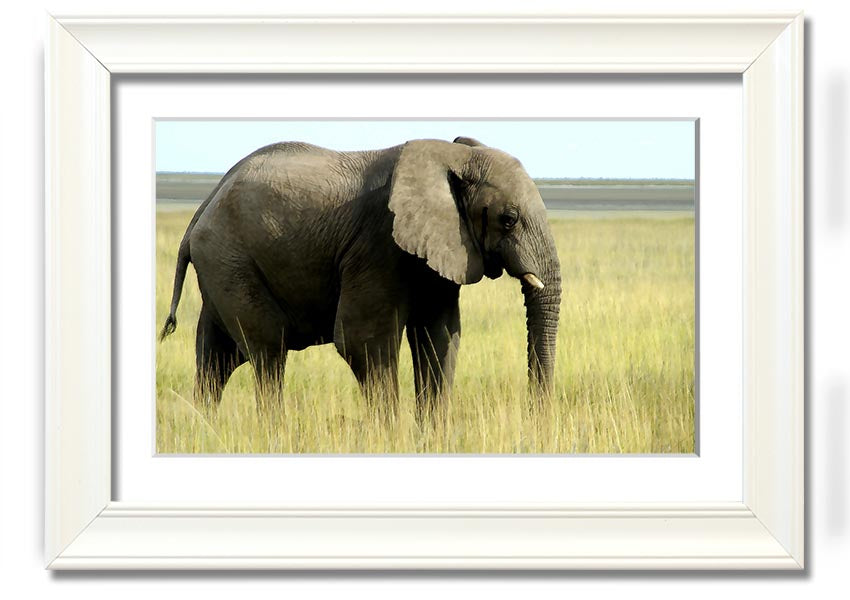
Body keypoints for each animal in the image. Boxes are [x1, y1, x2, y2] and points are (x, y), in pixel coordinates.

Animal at [159, 136, 561, 417]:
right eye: (508, 219)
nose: (535, 419)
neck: (450, 155)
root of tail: (200, 211)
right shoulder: (378, 243)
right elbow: (364, 342)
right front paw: (392, 438)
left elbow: (440, 336)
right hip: (230, 260)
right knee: (268, 351)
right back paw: (271, 430)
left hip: (222, 267)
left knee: (217, 357)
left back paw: (206, 428)